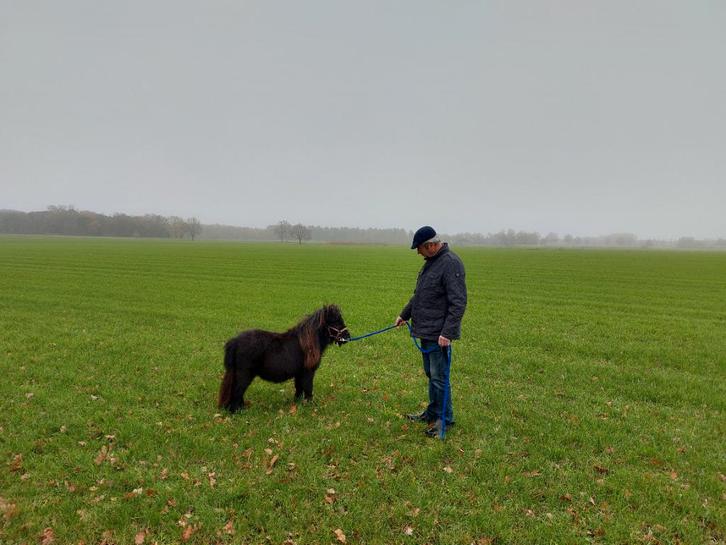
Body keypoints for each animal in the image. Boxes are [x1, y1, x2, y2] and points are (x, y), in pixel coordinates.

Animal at [218, 304, 350, 412]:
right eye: (336, 322)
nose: (348, 337)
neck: (306, 344)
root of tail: (235, 341)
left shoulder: (299, 374)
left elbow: (299, 389)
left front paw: (297, 404)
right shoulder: (308, 372)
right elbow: (308, 388)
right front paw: (310, 406)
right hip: (244, 374)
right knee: (237, 391)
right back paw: (237, 411)